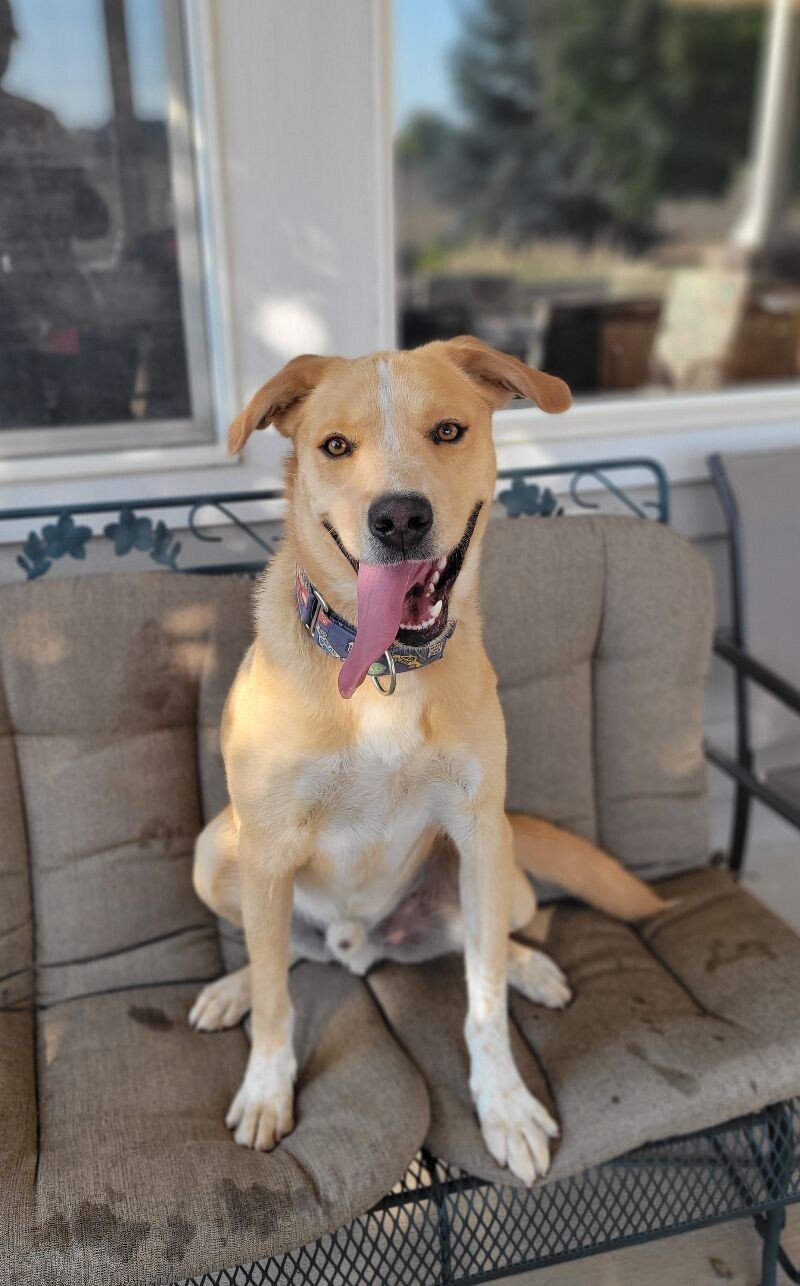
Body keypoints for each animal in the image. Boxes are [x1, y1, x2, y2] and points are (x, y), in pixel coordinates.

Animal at [191, 336, 668, 1177]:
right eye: (334, 446)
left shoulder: (479, 829)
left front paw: (504, 1103)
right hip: (218, 850)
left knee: (493, 939)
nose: (401, 516)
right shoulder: (268, 848)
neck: (385, 671)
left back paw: (529, 965)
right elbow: (279, 1001)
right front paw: (266, 1091)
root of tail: (359, 947)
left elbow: (483, 999)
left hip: (505, 875)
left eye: (448, 431)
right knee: (280, 953)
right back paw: (235, 986)